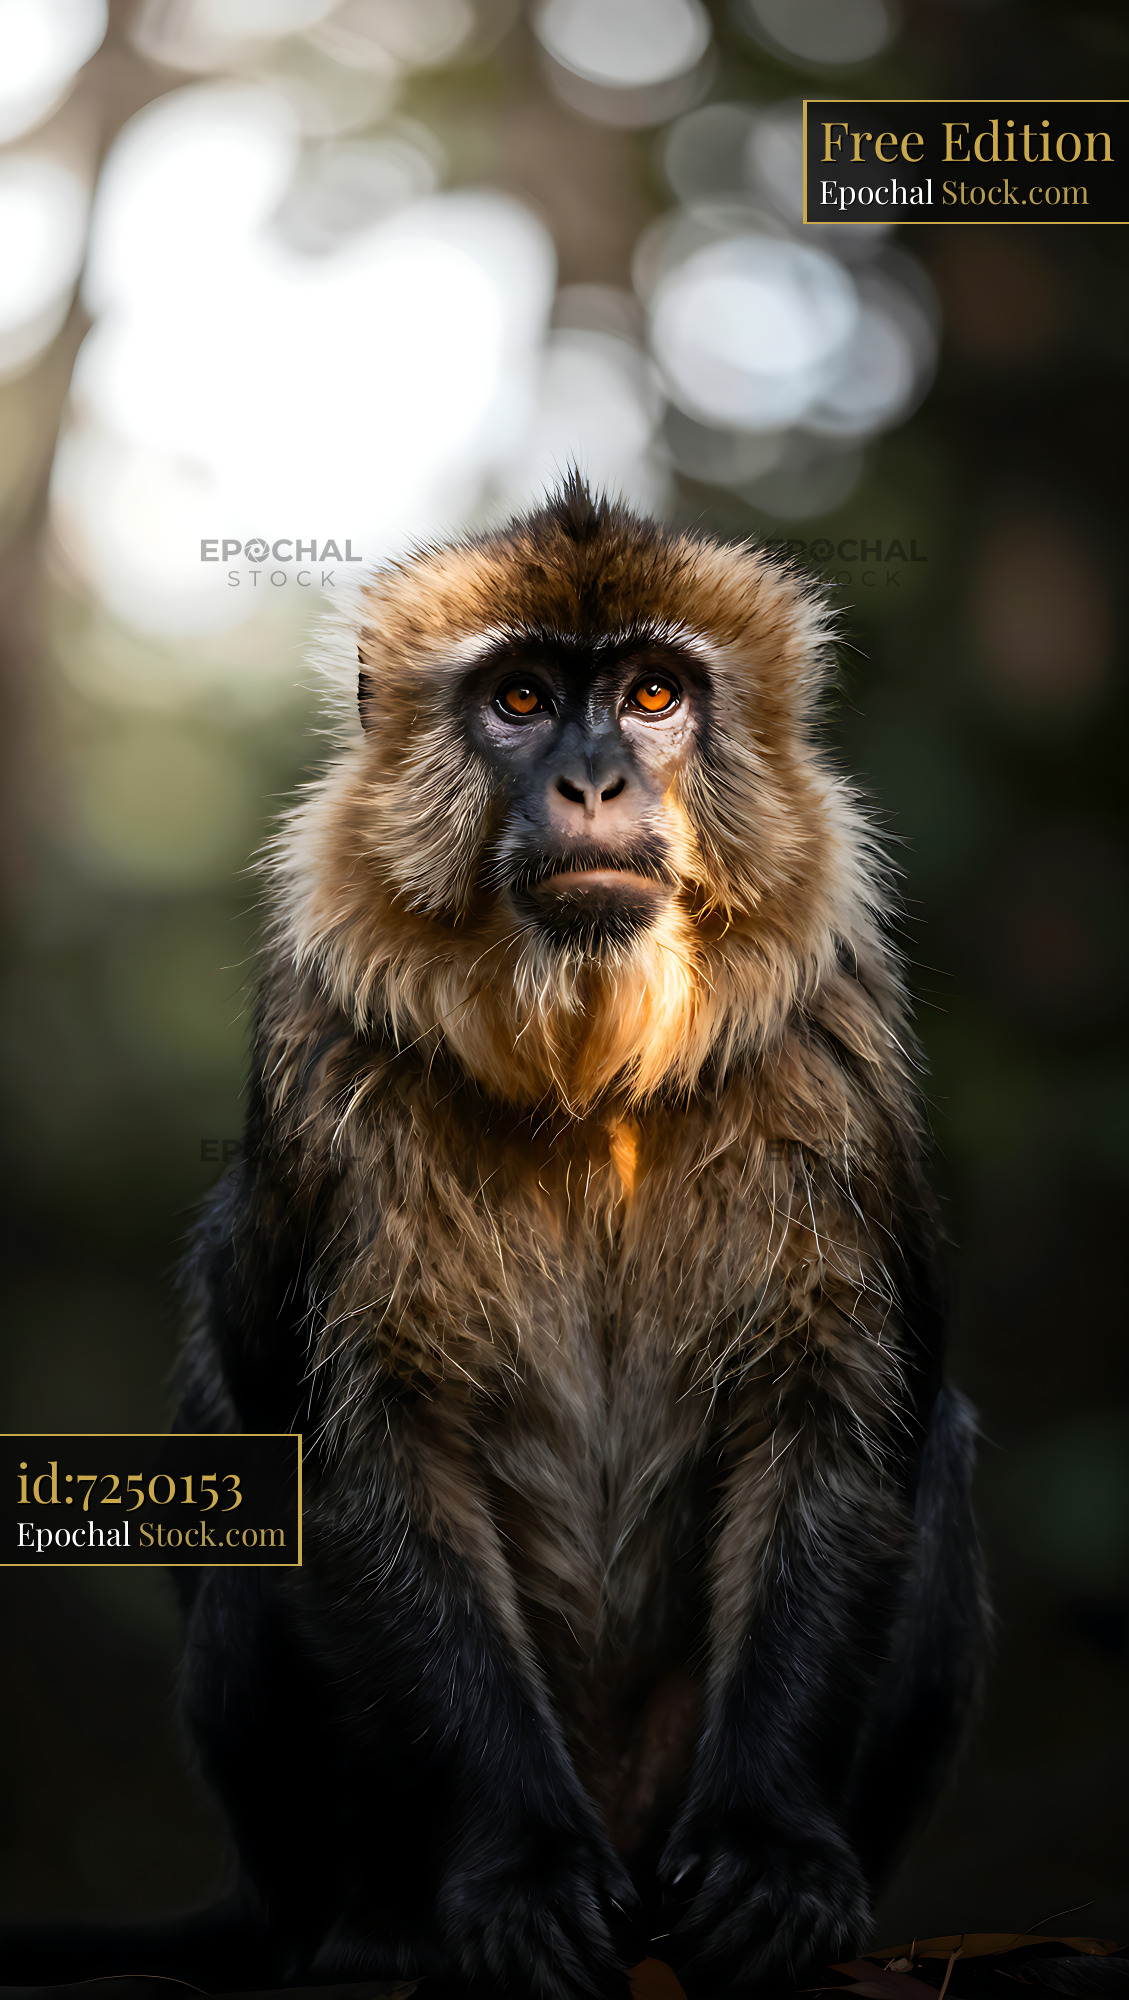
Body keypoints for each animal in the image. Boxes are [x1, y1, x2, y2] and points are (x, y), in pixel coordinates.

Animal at [0, 476, 984, 1997]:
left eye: (651, 694)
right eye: (521, 699)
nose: (593, 782)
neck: (595, 1092)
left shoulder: (836, 1053)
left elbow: (843, 1439)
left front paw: (771, 1855)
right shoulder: (321, 1065)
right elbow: (347, 1475)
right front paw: (522, 1873)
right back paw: (381, 1926)